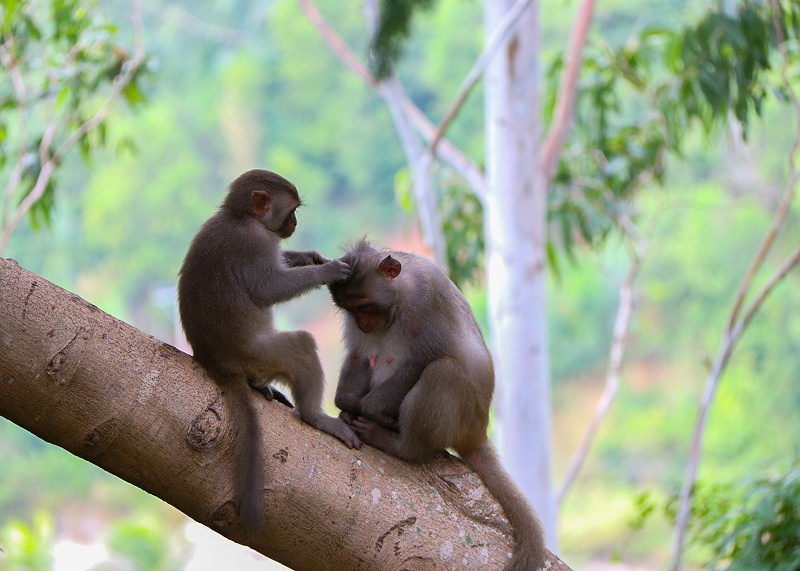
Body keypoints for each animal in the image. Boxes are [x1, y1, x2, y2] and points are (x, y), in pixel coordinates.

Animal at [180, 169, 360, 536]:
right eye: (290, 210)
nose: (294, 223)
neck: (241, 217)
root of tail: (217, 364)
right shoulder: (253, 244)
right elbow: (268, 289)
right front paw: (326, 270)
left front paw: (307, 257)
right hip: (257, 353)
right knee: (300, 346)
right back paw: (315, 417)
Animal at [328, 240, 548, 571]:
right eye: (350, 310)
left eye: (364, 306)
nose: (363, 324)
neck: (400, 295)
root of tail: (478, 432)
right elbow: (360, 356)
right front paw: (346, 404)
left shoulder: (426, 301)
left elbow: (422, 360)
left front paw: (369, 410)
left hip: (462, 419)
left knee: (441, 371)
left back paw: (400, 444)